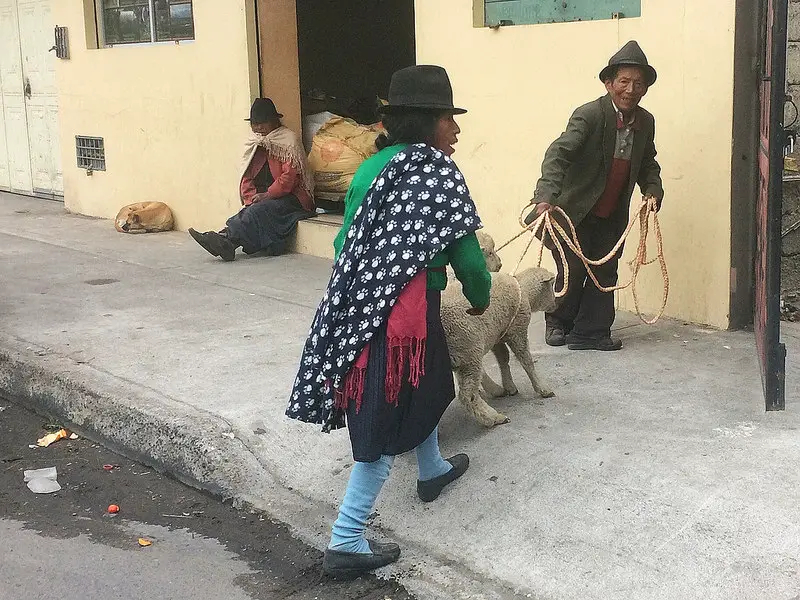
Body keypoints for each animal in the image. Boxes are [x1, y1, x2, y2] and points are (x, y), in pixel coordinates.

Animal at [438, 266, 556, 426]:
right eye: (552, 285)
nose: (555, 305)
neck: (524, 291)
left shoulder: (497, 335)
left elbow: (503, 358)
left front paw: (509, 386)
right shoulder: (517, 330)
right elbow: (526, 360)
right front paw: (543, 389)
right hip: (468, 348)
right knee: (467, 395)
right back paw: (494, 418)